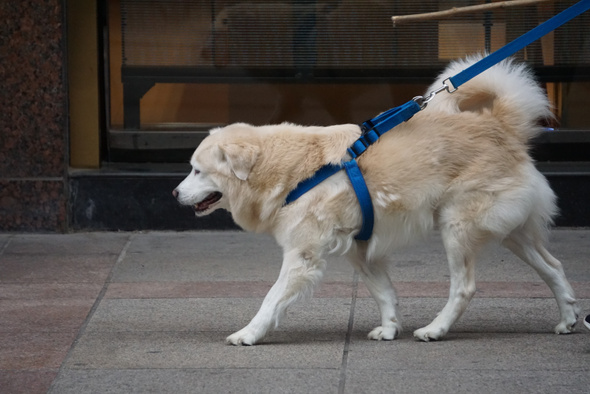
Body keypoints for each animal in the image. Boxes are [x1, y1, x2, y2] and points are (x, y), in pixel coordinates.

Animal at [173, 56, 580, 344]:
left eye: (197, 171)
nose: (174, 193)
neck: (290, 169)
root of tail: (498, 124)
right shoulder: (360, 249)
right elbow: (385, 293)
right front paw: (389, 328)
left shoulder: (302, 257)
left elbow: (270, 300)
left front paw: (249, 334)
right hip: (512, 232)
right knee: (554, 266)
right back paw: (569, 319)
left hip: (458, 228)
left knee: (464, 288)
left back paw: (436, 329)